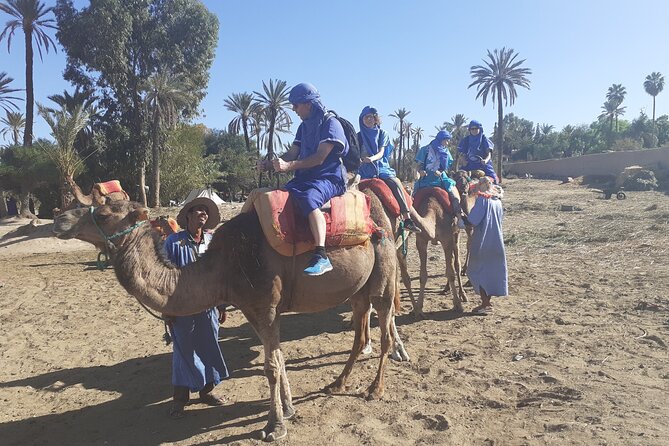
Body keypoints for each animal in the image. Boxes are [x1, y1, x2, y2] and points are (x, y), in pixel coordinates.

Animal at [52, 193, 402, 444]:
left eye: (104, 213)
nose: (59, 219)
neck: (223, 268)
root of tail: (378, 213)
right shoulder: (254, 309)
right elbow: (279, 358)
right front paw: (288, 409)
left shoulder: (265, 306)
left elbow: (270, 366)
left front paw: (274, 425)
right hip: (358, 289)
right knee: (359, 334)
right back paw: (336, 383)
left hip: (383, 274)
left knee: (384, 328)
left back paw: (374, 389)